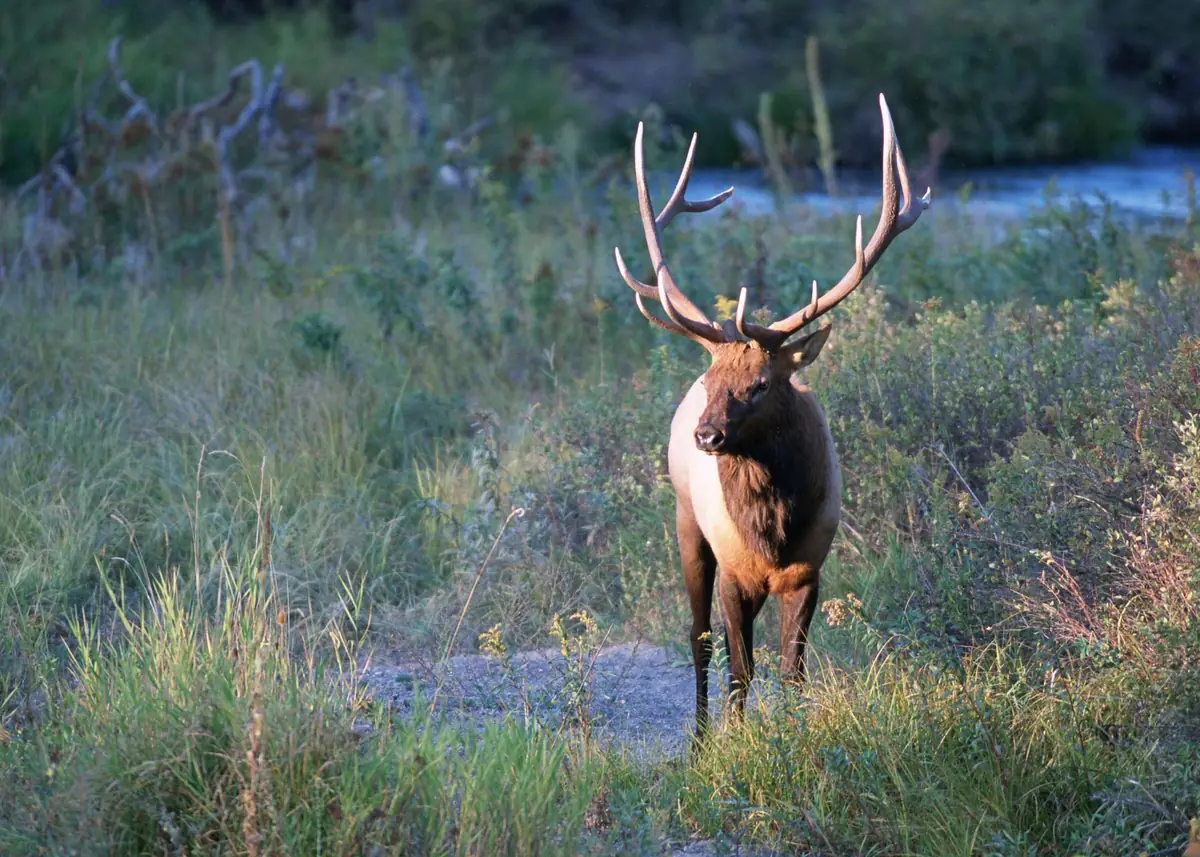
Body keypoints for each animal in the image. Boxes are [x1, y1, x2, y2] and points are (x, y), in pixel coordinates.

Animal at [613, 94, 931, 740]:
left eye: (761, 383)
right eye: (711, 382)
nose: (706, 433)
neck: (773, 531)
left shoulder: (810, 569)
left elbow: (792, 671)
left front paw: (793, 734)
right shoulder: (735, 570)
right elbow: (740, 668)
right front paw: (733, 744)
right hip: (686, 520)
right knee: (699, 637)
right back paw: (700, 736)